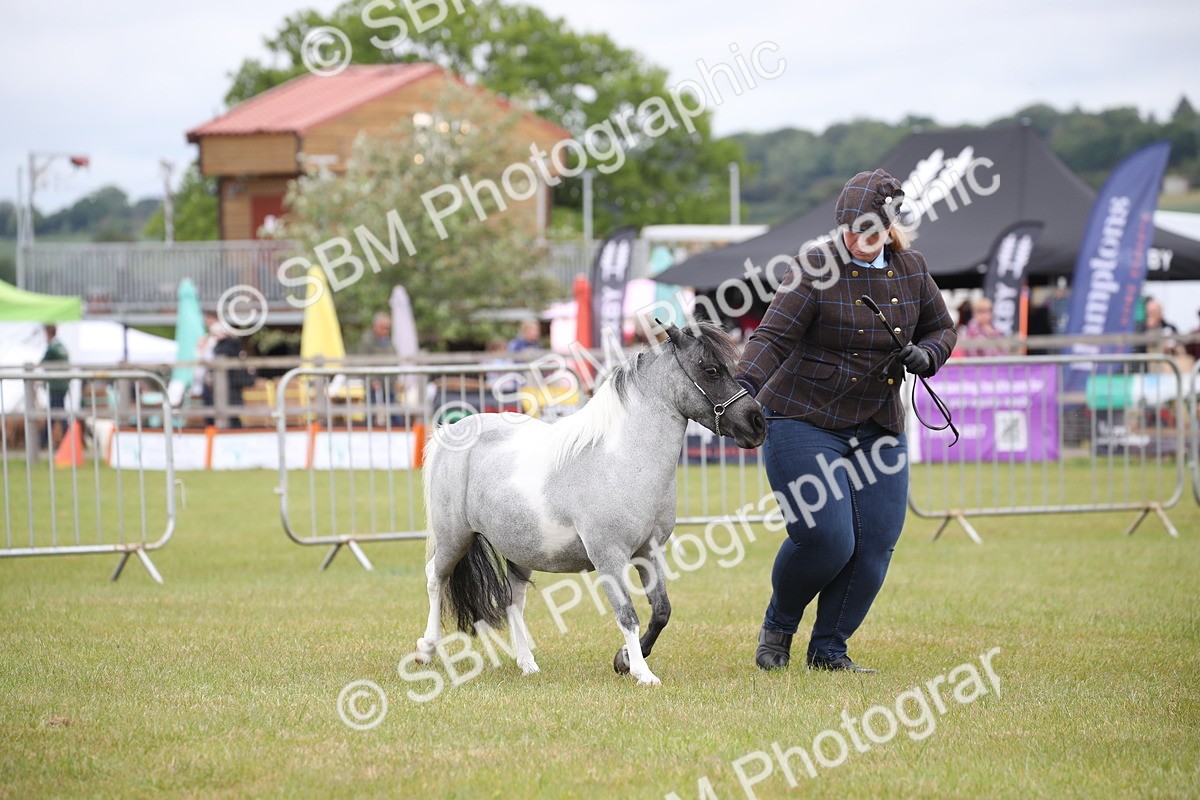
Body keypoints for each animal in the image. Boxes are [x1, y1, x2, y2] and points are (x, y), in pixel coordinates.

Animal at [416, 321, 766, 685]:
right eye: (711, 370)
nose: (757, 422)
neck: (623, 460)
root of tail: (452, 430)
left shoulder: (650, 551)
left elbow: (661, 611)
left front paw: (624, 660)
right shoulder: (609, 557)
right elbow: (627, 614)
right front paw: (642, 672)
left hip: (519, 549)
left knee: (514, 601)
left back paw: (527, 663)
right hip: (454, 537)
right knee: (435, 578)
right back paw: (426, 649)